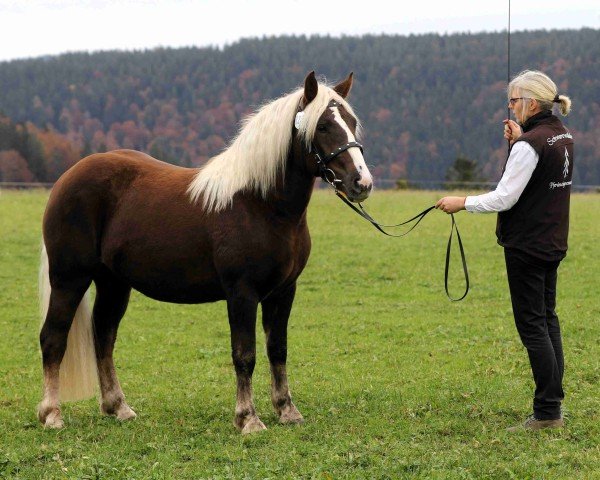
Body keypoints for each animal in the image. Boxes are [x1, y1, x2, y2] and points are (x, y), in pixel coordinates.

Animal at [37, 71, 370, 436]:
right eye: (322, 126)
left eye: (351, 122)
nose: (361, 182)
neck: (260, 204)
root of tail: (66, 178)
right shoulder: (242, 293)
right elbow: (245, 354)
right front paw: (248, 418)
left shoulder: (284, 291)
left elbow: (277, 349)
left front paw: (287, 410)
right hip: (69, 279)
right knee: (53, 338)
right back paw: (52, 414)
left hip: (113, 283)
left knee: (103, 336)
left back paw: (118, 407)